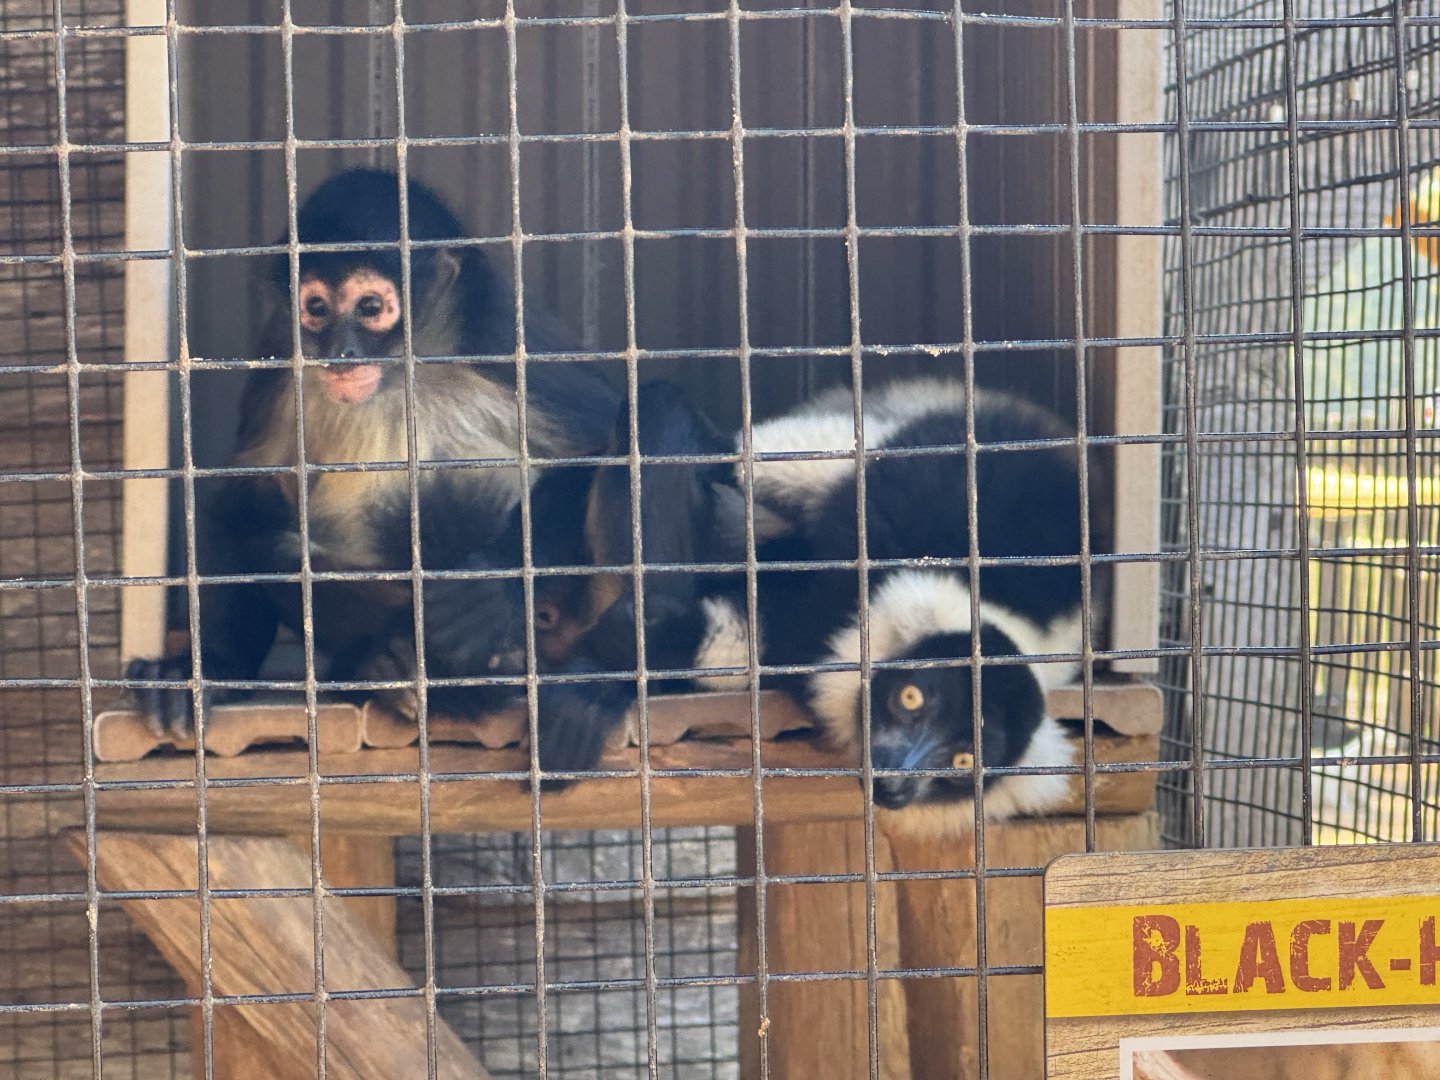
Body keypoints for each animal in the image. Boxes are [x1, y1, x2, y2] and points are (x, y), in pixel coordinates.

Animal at [125, 167, 623, 775]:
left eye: (369, 307)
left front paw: (488, 593)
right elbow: (244, 494)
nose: (341, 352)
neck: (397, 374)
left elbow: (613, 442)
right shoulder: (284, 351)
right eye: (316, 307)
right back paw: (384, 663)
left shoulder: (499, 337)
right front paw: (210, 666)